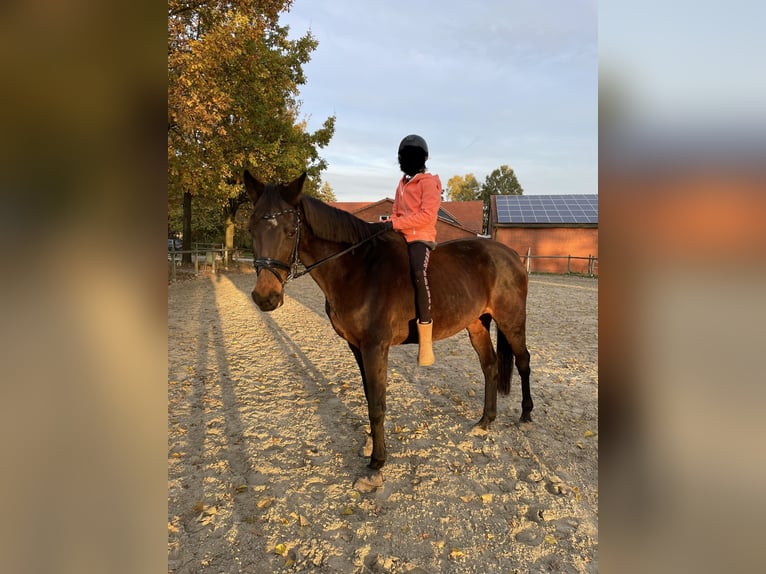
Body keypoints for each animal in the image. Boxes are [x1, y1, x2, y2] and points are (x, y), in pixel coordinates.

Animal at [243, 172, 532, 476]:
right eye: (251, 229)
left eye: (290, 231)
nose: (265, 297)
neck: (357, 270)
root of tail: (511, 255)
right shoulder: (357, 347)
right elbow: (369, 396)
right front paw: (371, 445)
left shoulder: (375, 347)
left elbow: (377, 404)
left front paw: (377, 461)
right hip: (476, 323)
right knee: (489, 365)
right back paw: (486, 420)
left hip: (511, 320)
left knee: (523, 361)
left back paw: (526, 413)